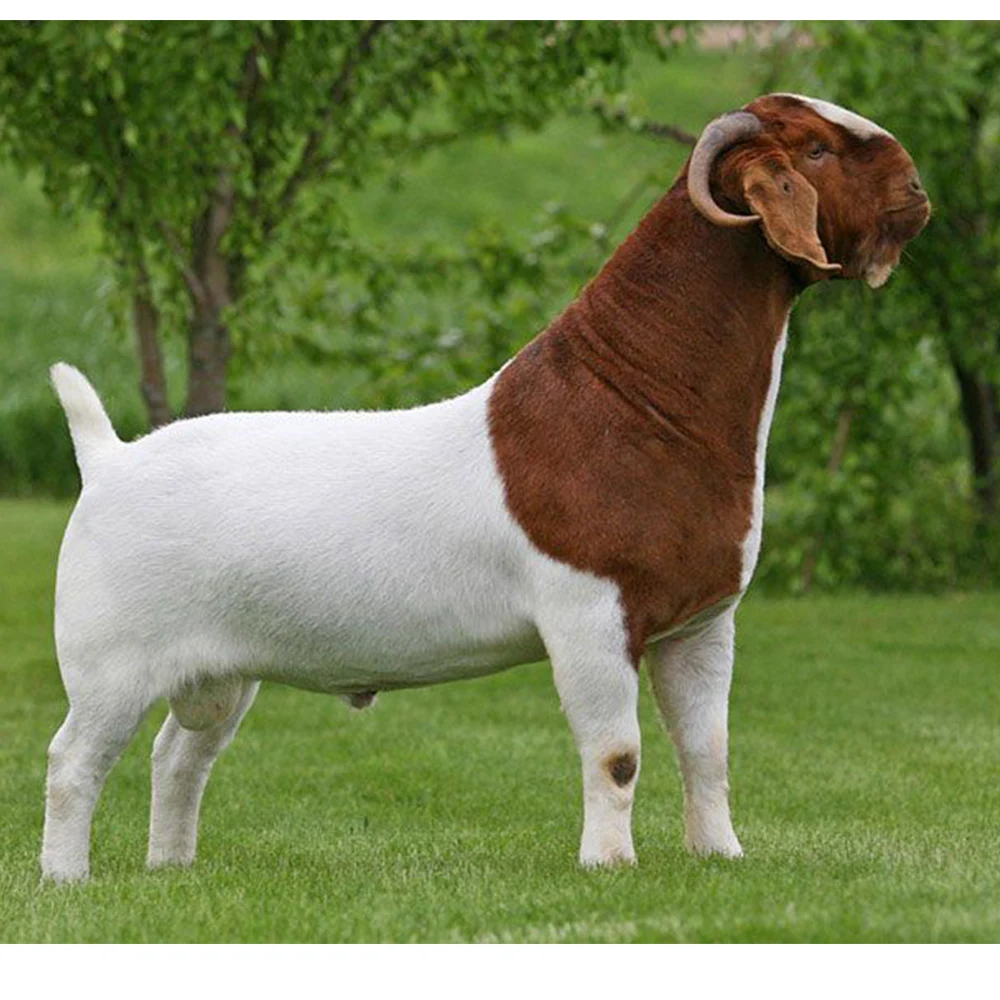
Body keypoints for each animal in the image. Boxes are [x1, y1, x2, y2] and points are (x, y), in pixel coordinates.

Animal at [42, 94, 929, 882]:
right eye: (815, 149)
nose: (917, 191)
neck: (632, 400)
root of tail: (108, 457)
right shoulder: (589, 616)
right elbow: (617, 754)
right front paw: (609, 865)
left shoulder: (701, 623)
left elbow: (707, 751)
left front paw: (721, 857)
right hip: (110, 660)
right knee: (71, 761)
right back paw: (66, 879)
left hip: (220, 672)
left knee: (178, 757)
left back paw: (171, 868)